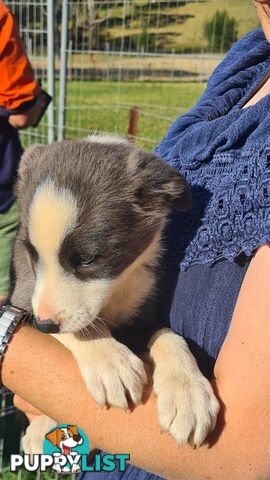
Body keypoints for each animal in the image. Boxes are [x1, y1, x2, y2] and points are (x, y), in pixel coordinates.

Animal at [11, 136, 219, 454]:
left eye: (86, 259)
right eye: (32, 254)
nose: (44, 325)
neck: (115, 291)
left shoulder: (142, 313)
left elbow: (169, 336)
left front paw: (188, 394)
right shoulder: (25, 297)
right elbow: (82, 327)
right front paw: (111, 362)